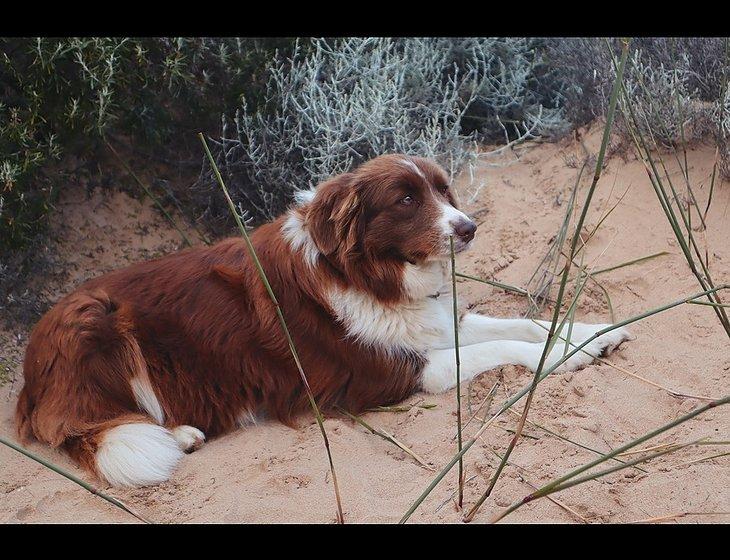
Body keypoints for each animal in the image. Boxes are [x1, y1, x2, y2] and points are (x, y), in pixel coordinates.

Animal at [15, 153, 632, 486]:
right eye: (406, 200)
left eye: (443, 190)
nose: (469, 227)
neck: (367, 274)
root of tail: (29, 376)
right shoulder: (388, 373)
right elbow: (502, 348)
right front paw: (568, 355)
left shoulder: (430, 327)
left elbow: (521, 324)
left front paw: (588, 334)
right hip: (96, 320)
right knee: (95, 426)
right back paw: (180, 434)